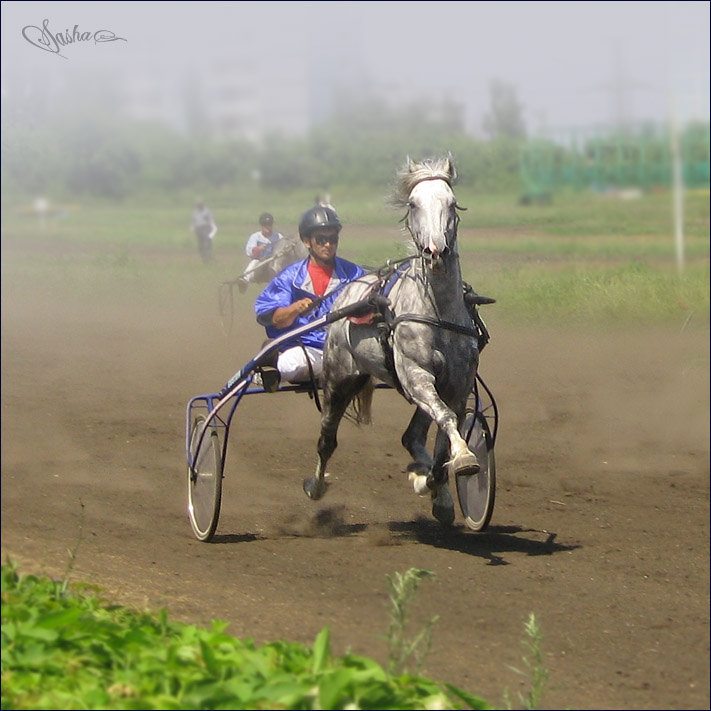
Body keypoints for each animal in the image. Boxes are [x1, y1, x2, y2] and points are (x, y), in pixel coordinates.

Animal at [304, 156, 482, 524]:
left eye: (452, 202)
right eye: (413, 204)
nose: (435, 252)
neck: (438, 310)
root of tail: (348, 293)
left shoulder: (456, 385)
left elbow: (443, 441)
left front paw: (437, 485)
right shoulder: (416, 376)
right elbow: (445, 420)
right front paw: (460, 459)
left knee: (411, 436)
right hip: (339, 379)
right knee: (327, 438)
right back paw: (316, 485)